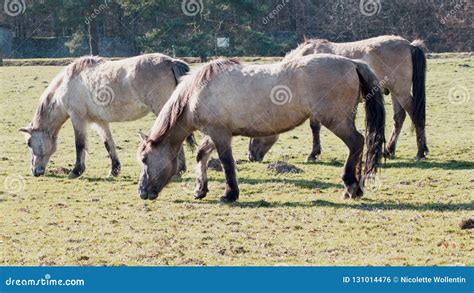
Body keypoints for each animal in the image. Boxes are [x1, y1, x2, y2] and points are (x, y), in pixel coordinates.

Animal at [19, 54, 191, 179]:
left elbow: (79, 144)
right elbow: (109, 144)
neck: (67, 84)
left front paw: (76, 171)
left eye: (29, 142)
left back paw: (178, 171)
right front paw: (114, 170)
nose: (34, 171)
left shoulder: (77, 118)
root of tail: (171, 62)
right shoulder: (100, 122)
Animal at [250, 35, 428, 162]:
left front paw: (313, 154)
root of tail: (410, 45)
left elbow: (314, 127)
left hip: (400, 92)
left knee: (415, 114)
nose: (251, 155)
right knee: (399, 117)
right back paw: (389, 150)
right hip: (395, 92)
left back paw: (420, 151)